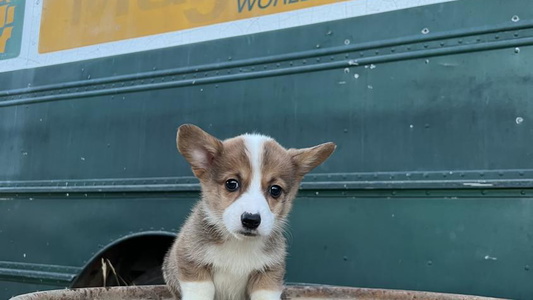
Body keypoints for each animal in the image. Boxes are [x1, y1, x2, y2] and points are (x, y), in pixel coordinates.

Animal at [164, 123, 334, 298]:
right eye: (231, 183)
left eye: (275, 190)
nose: (251, 220)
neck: (240, 244)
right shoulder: (191, 265)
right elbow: (201, 292)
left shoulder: (268, 276)